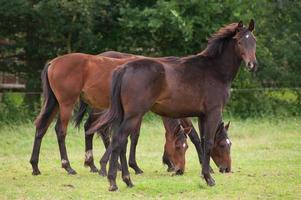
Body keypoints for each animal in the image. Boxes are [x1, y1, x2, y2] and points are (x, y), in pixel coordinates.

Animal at [86, 19, 255, 191]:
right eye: (239, 41)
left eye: (254, 41)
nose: (251, 64)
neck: (214, 71)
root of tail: (123, 68)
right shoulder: (213, 112)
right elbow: (207, 142)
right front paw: (209, 178)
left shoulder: (201, 115)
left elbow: (201, 140)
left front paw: (204, 173)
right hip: (133, 115)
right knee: (118, 140)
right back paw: (114, 181)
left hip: (124, 116)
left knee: (121, 142)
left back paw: (127, 180)